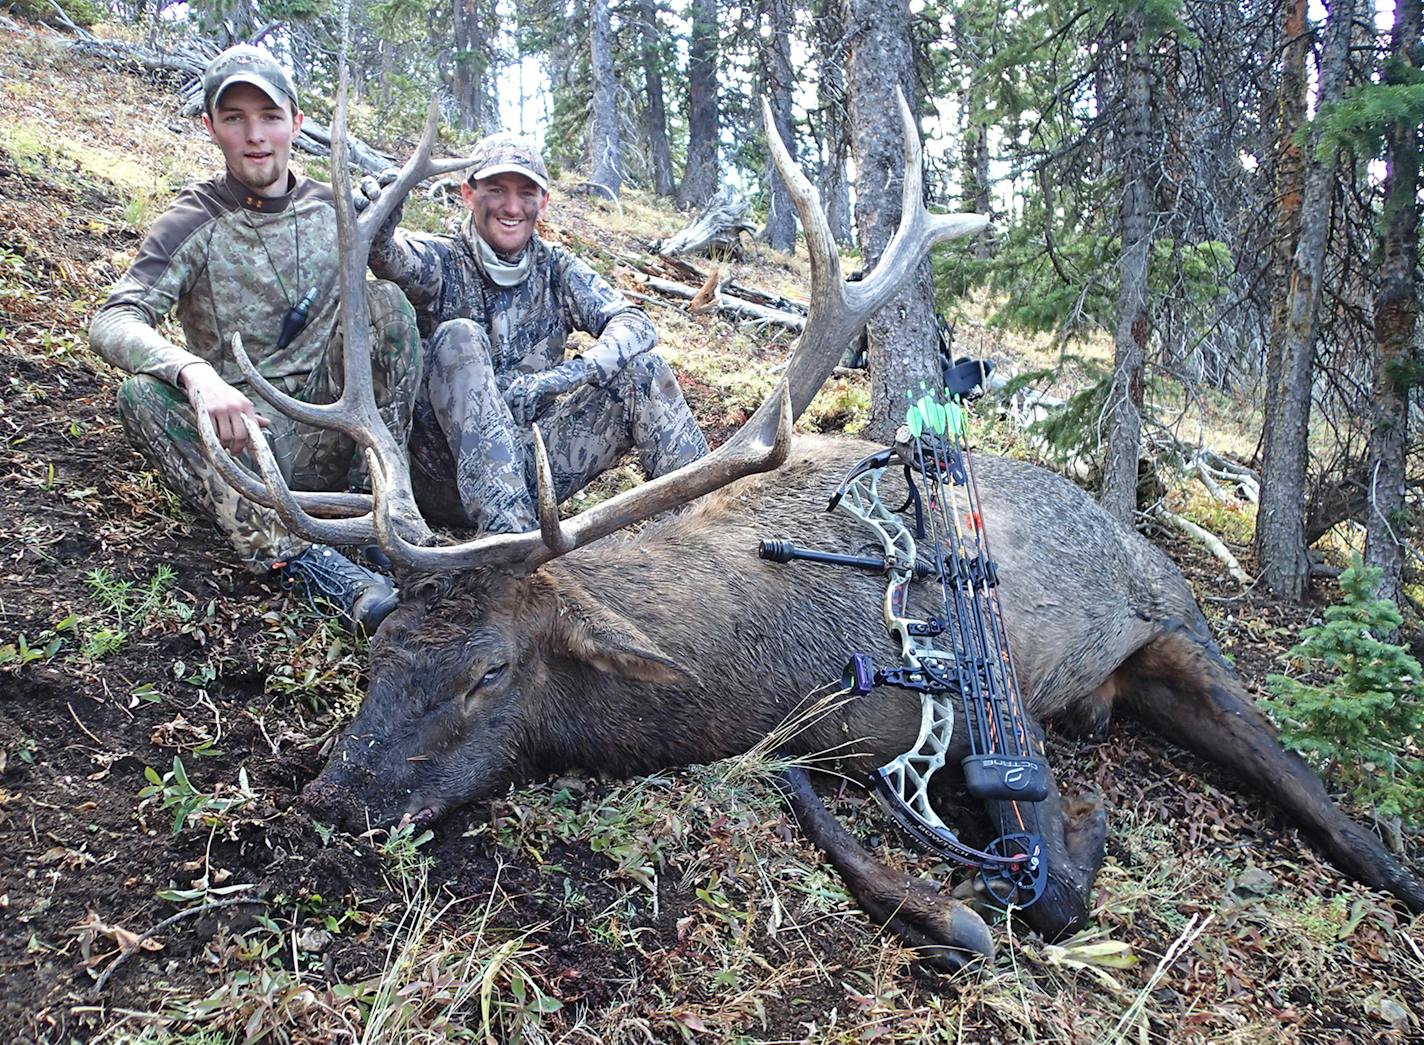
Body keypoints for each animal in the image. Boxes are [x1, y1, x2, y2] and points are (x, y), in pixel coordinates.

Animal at [197, 83, 1424, 973]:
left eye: (488, 670)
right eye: (379, 651)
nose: (332, 793)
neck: (752, 678)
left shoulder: (968, 720)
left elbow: (1046, 894)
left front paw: (1072, 835)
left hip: (1179, 627)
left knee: (1308, 783)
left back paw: (1391, 865)